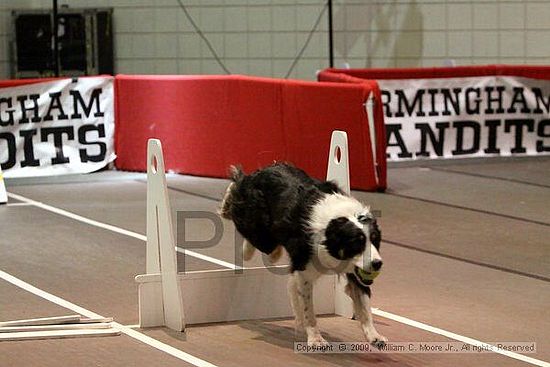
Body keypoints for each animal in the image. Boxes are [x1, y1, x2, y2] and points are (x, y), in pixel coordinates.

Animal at [220, 163, 388, 348]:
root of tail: (262, 171)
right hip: (259, 226)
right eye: (356, 243)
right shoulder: (304, 273)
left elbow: (364, 306)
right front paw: (315, 338)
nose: (377, 263)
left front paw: (374, 336)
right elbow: (308, 310)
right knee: (238, 196)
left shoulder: (356, 272)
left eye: (375, 240)